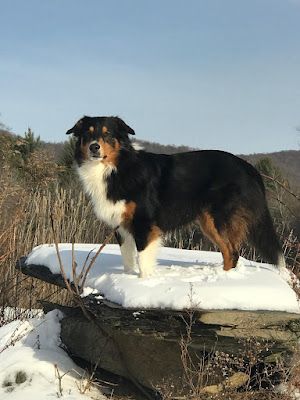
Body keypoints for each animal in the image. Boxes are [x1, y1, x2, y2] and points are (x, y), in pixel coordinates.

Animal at [66, 115, 286, 278]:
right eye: (87, 134)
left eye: (108, 133)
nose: (94, 147)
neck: (118, 167)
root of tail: (248, 166)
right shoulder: (120, 226)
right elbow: (128, 258)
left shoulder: (144, 223)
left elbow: (143, 259)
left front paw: (144, 283)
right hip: (208, 221)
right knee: (229, 252)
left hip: (219, 218)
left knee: (232, 252)